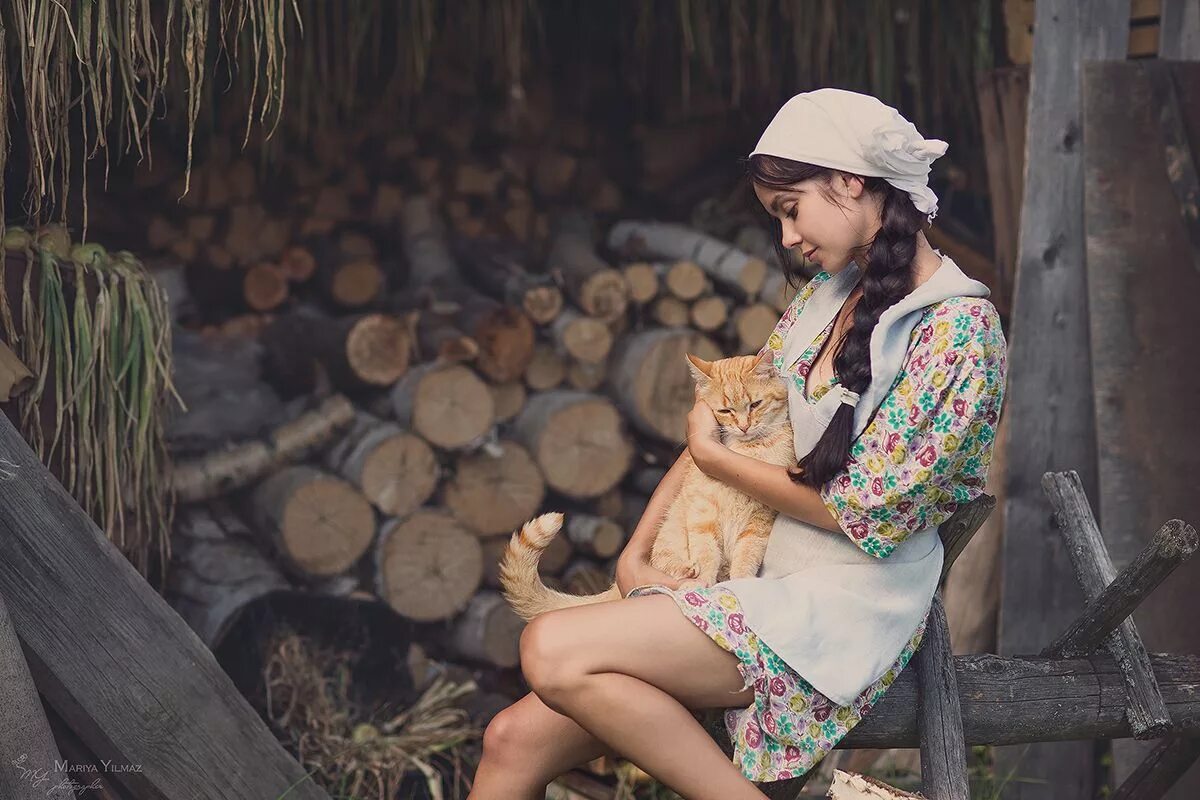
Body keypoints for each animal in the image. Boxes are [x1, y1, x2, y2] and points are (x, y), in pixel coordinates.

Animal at [499, 352, 796, 623]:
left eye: (755, 404)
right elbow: (706, 550)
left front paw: (740, 582)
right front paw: (702, 580)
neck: (748, 450)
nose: (744, 427)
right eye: (725, 411)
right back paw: (688, 572)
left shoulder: (759, 520)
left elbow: (746, 556)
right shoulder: (703, 512)